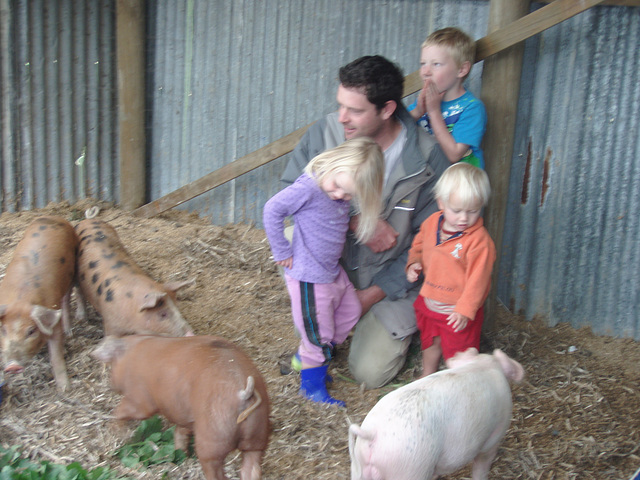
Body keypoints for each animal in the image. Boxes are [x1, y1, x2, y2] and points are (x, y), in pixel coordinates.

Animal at [0, 216, 79, 392]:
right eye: (3, 330)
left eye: (31, 331)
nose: (12, 366)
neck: (20, 298)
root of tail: (55, 217)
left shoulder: (53, 320)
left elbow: (56, 356)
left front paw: (65, 389)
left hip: (71, 272)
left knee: (66, 300)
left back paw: (69, 332)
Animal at [92, 334, 270, 480]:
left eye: (111, 365)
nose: (111, 384)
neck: (130, 353)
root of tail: (243, 393)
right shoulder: (184, 415)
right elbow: (180, 432)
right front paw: (180, 454)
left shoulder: (140, 399)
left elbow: (125, 411)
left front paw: (115, 429)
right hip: (258, 436)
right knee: (251, 470)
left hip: (212, 441)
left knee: (217, 473)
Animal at [350, 348, 524, 480]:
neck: (484, 365)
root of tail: (372, 433)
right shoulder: (494, 437)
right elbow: (482, 466)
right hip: (410, 468)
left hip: (359, 468)